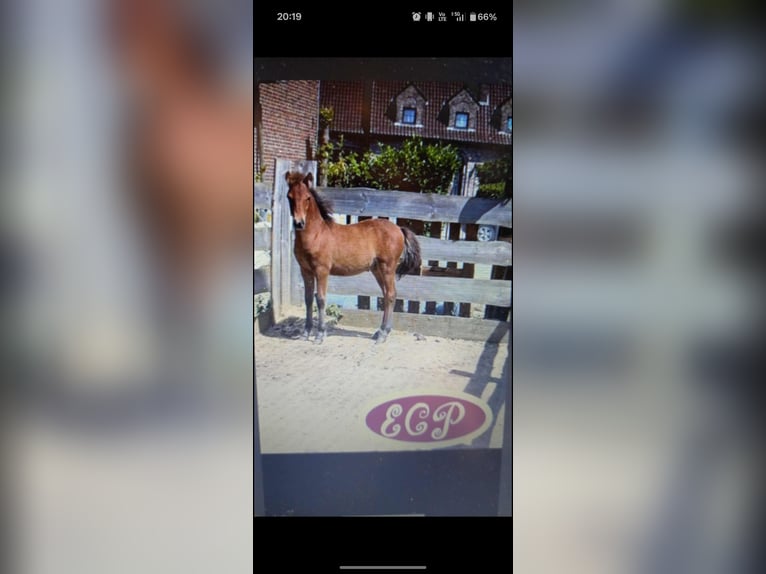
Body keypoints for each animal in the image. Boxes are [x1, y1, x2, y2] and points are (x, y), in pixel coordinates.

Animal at [285, 171, 422, 344]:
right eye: (289, 197)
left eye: (308, 198)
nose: (299, 223)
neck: (316, 234)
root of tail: (399, 229)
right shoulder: (306, 271)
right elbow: (308, 299)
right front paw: (305, 332)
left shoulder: (322, 270)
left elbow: (321, 299)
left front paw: (320, 334)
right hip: (377, 270)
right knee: (386, 295)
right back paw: (380, 331)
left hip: (388, 267)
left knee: (391, 295)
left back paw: (383, 334)